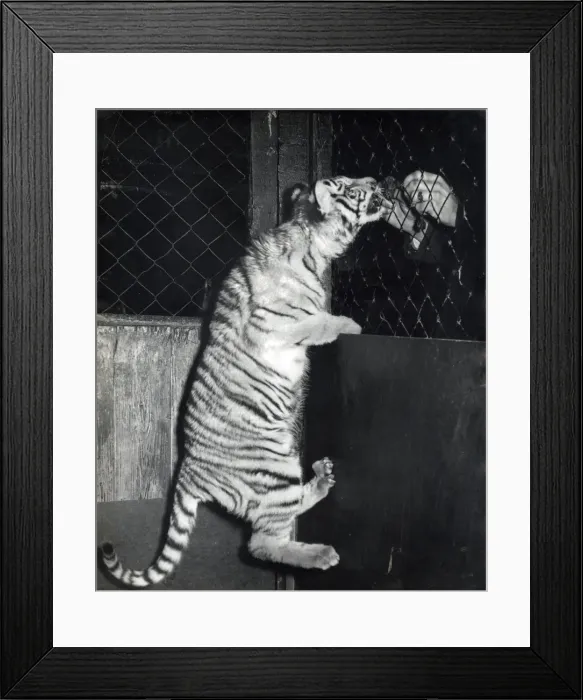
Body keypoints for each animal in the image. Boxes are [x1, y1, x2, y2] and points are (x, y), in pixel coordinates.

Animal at [100, 175, 392, 588]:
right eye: (351, 189)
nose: (378, 181)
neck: (310, 244)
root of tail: (187, 472)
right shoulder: (275, 325)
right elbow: (320, 321)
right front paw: (350, 324)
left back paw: (321, 479)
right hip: (273, 470)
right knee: (260, 544)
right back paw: (320, 553)